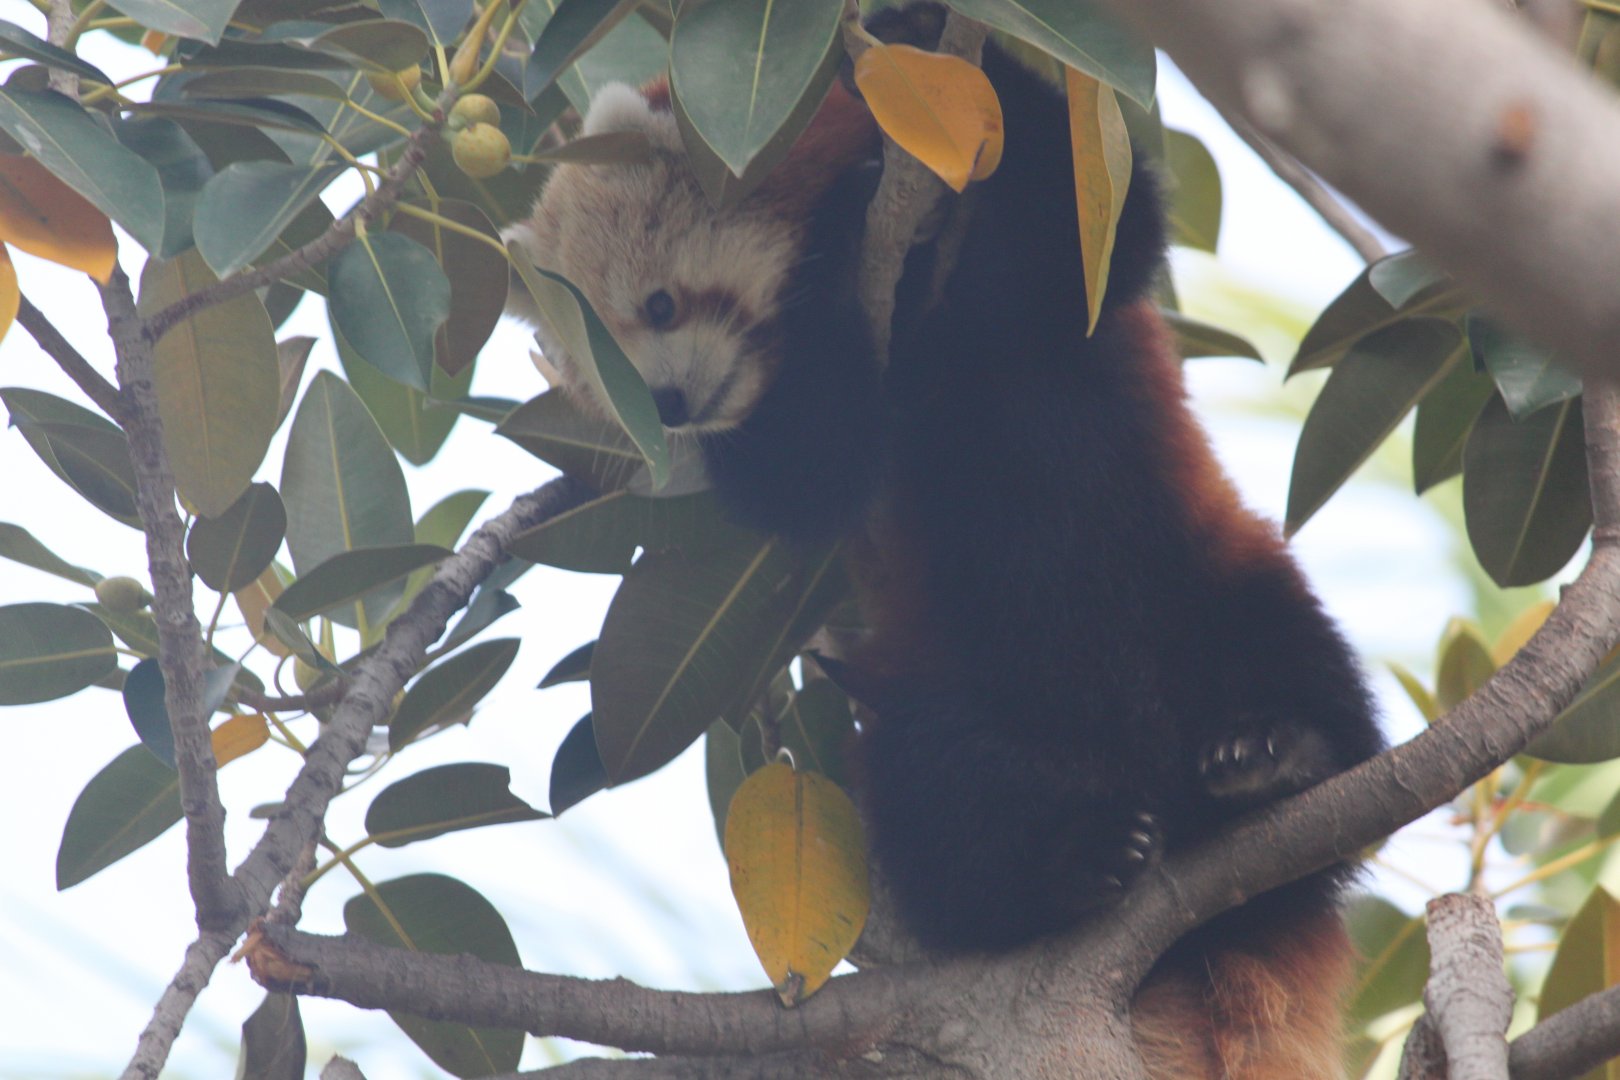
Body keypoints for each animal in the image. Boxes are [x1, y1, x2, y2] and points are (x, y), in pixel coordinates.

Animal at [504, 9, 1385, 1076]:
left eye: (659, 307)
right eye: (615, 378)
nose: (670, 408)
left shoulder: (1034, 251)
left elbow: (1098, 226)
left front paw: (916, 35)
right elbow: (813, 471)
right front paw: (838, 262)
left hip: (1199, 572)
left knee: (1290, 654)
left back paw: (1277, 757)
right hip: (947, 695)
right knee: (937, 792)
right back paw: (1066, 862)